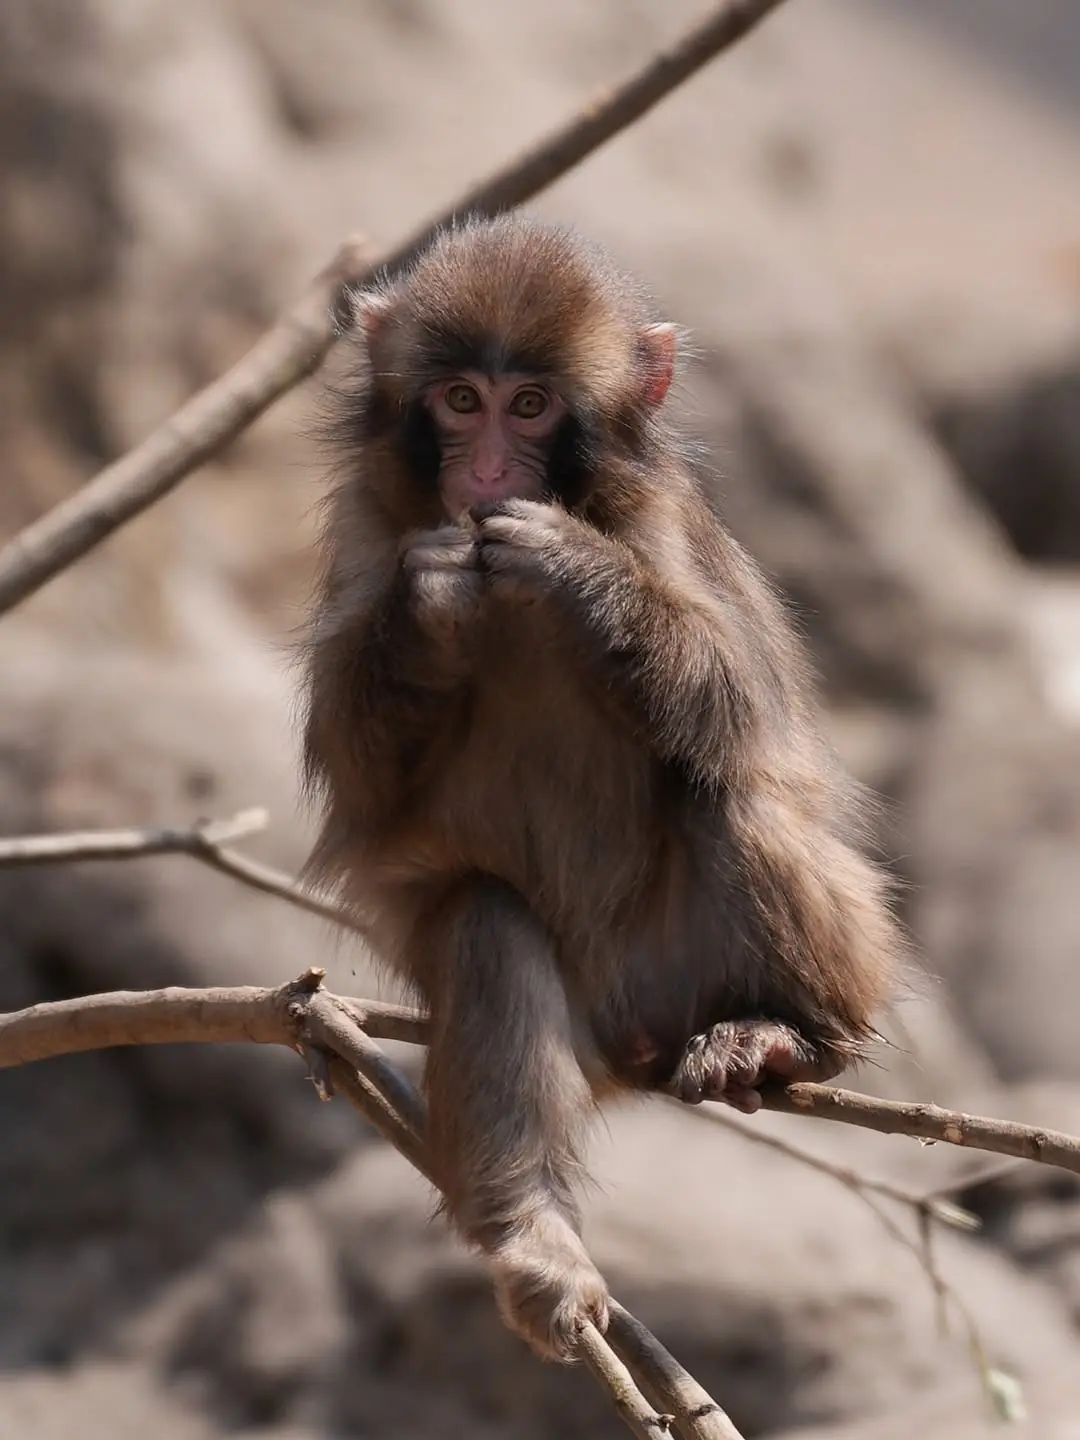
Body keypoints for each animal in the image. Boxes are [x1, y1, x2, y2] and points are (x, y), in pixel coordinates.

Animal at [300, 213, 902, 1362]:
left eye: (531, 406)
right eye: (461, 400)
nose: (490, 470)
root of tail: (635, 1045)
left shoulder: (664, 522)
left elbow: (746, 711)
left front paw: (576, 572)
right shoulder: (363, 527)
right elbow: (359, 777)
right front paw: (427, 602)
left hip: (687, 966)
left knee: (727, 788)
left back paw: (787, 1033)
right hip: (581, 1013)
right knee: (483, 922)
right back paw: (535, 1239)